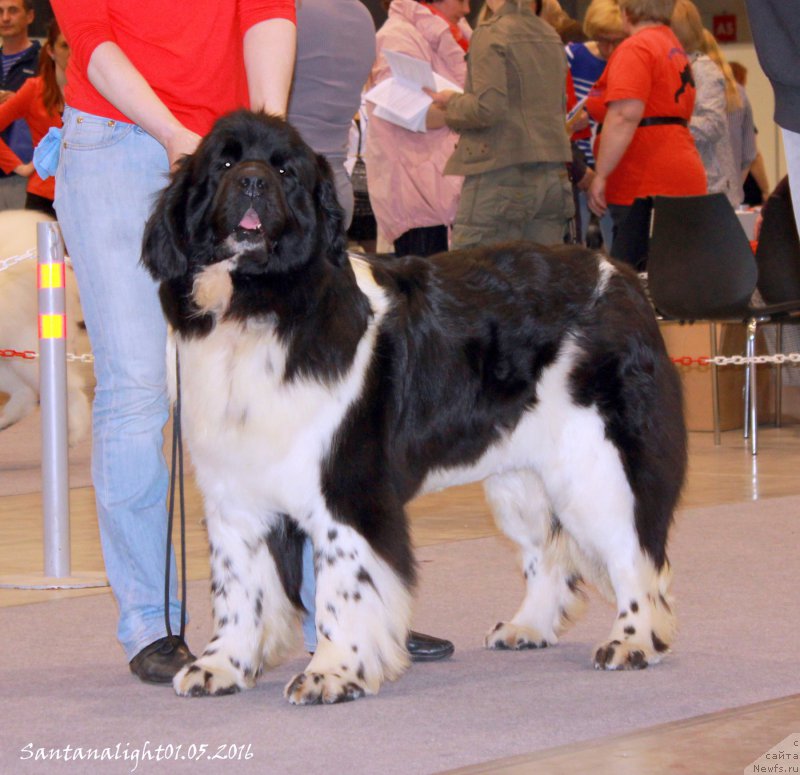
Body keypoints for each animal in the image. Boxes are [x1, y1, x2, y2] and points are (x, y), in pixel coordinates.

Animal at [141, 112, 684, 708]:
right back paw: (528, 627)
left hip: (598, 463)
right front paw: (221, 666)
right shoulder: (233, 492)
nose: (254, 181)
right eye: (224, 162)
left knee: (635, 552)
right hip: (521, 476)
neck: (262, 306)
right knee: (549, 553)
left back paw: (633, 641)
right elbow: (238, 588)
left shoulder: (347, 493)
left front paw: (332, 673)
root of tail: (622, 275)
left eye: (285, 171)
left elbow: (341, 588)